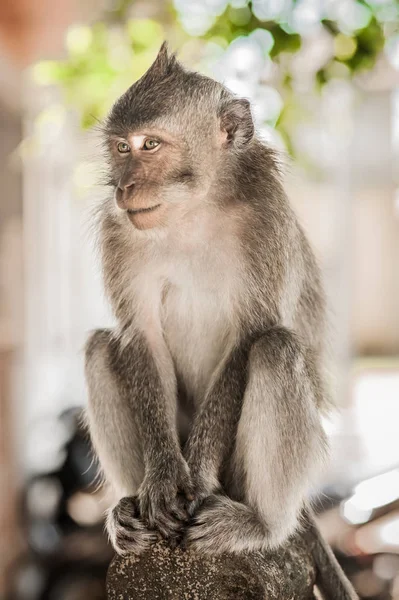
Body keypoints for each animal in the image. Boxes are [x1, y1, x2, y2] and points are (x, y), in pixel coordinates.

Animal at [85, 43, 360, 600]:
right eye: (121, 148)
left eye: (150, 144)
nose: (125, 186)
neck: (194, 208)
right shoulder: (118, 232)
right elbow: (140, 338)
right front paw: (163, 478)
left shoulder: (266, 220)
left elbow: (251, 334)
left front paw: (197, 476)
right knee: (102, 346)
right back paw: (128, 512)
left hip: (245, 476)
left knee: (275, 348)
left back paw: (261, 524)